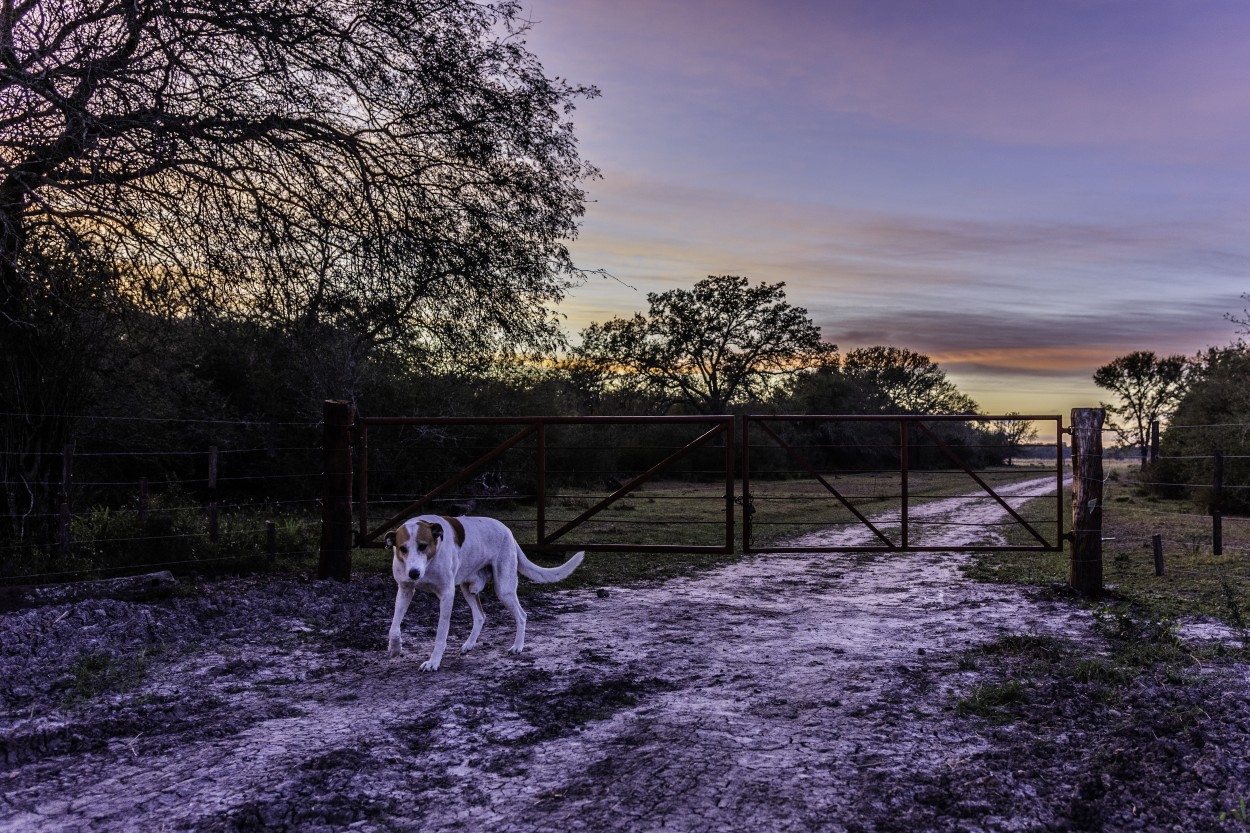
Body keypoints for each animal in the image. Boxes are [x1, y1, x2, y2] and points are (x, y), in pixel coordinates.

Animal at [382, 512, 582, 670]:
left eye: (423, 546)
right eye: (402, 549)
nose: (414, 573)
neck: (430, 561)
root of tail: (508, 531)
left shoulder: (447, 595)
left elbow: (440, 634)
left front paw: (433, 662)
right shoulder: (405, 590)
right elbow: (394, 628)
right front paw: (395, 648)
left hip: (504, 589)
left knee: (522, 615)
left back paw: (517, 646)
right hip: (468, 588)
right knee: (480, 616)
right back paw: (469, 644)